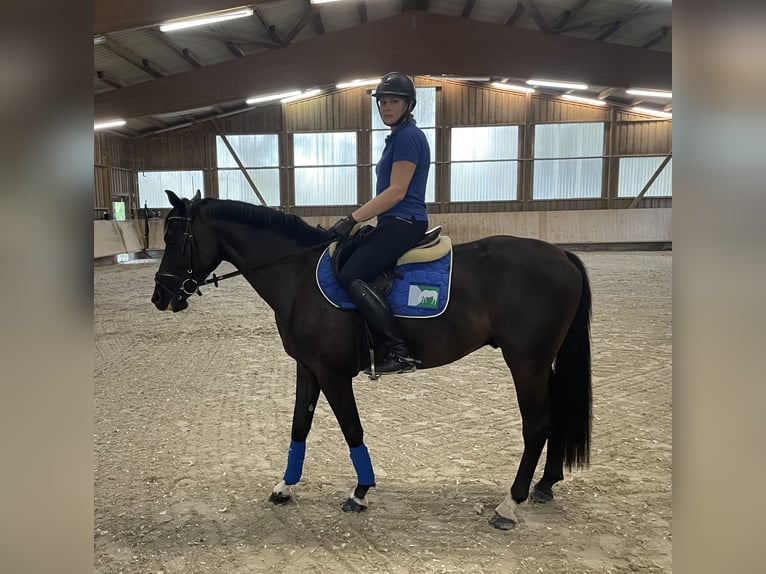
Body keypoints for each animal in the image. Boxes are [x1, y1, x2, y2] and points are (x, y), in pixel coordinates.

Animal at [152, 191, 592, 532]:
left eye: (173, 238)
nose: (160, 297)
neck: (297, 276)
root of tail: (561, 256)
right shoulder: (307, 368)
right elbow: (299, 426)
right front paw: (284, 487)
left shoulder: (332, 374)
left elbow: (352, 429)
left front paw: (360, 492)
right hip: (542, 364)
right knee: (554, 416)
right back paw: (545, 485)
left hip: (527, 362)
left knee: (536, 426)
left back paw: (510, 504)